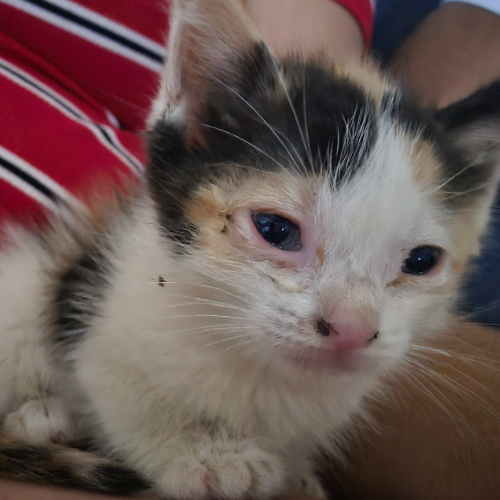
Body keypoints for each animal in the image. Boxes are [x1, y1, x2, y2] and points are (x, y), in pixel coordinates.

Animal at [1, 0, 500, 498]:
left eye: (422, 261)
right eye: (275, 229)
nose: (352, 329)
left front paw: (295, 476)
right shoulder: (100, 307)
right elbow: (120, 392)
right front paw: (202, 455)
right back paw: (42, 416)